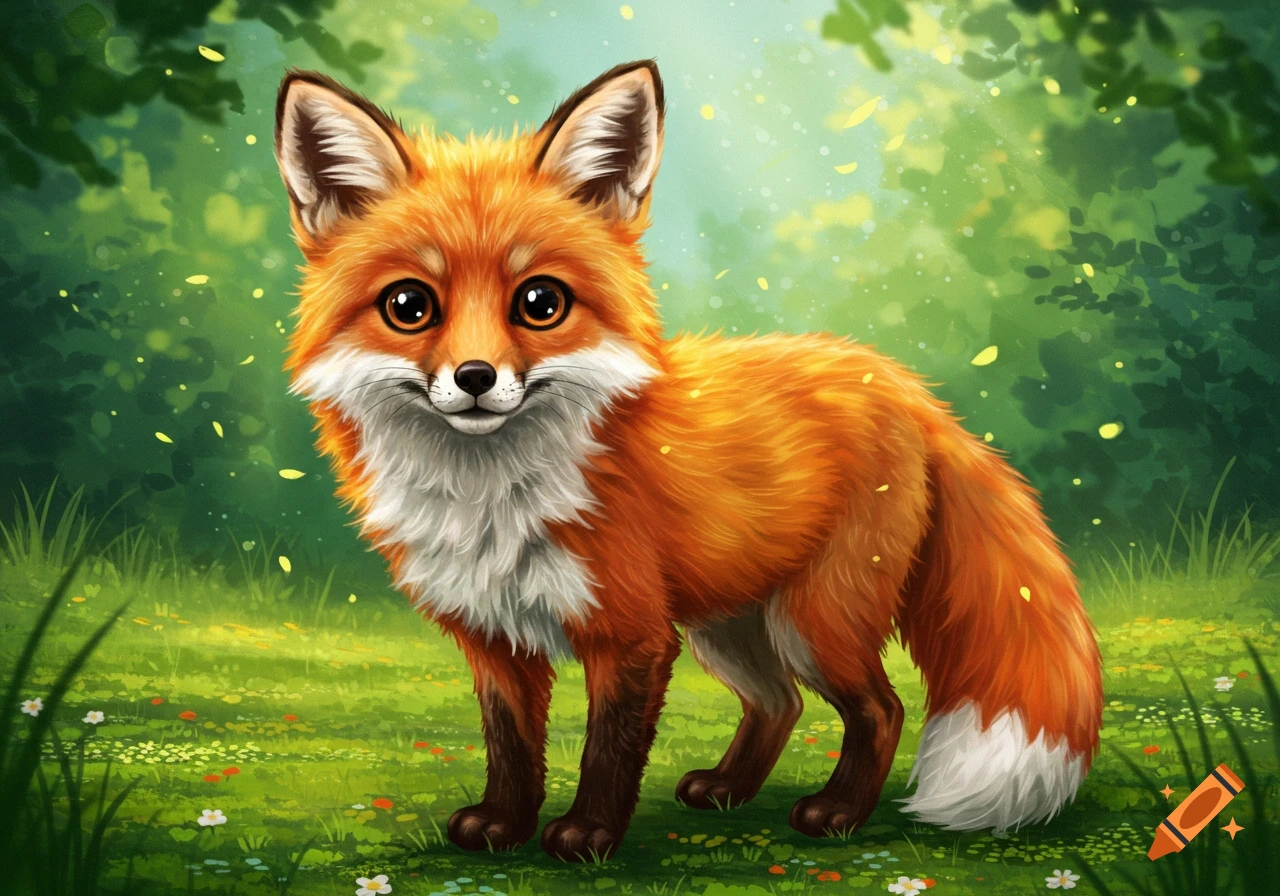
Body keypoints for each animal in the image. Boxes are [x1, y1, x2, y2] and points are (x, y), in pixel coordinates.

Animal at [273, 60, 1103, 861]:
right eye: (409, 306)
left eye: (540, 302)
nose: (475, 378)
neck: (491, 498)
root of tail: (904, 385)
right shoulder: (494, 636)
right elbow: (511, 746)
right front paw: (504, 825)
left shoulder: (633, 632)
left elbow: (607, 749)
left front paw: (588, 837)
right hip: (729, 626)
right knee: (779, 702)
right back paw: (730, 789)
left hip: (814, 620)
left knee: (882, 706)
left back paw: (837, 813)